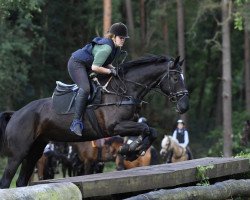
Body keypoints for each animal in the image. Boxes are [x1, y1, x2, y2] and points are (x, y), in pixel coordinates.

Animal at [0, 54, 188, 188]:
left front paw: (133, 151)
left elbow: (150, 130)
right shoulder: (115, 127)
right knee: (6, 180)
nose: (184, 106)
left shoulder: (125, 127)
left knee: (21, 181)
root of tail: (16, 114)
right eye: (176, 78)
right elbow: (145, 128)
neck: (122, 91)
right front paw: (131, 150)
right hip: (18, 153)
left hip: (35, 151)